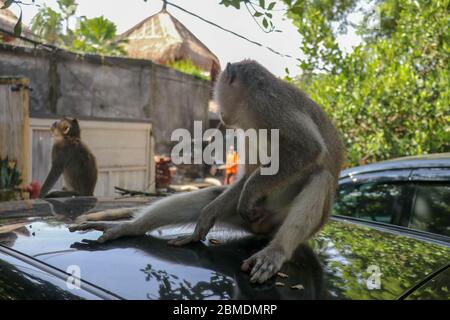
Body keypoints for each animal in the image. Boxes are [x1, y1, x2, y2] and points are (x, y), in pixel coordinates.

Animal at [70, 60, 344, 282]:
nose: (220, 114)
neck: (249, 109)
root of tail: (263, 228)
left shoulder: (267, 104)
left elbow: (308, 149)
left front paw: (250, 191)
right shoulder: (246, 126)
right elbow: (246, 176)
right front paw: (211, 213)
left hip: (283, 220)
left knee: (320, 179)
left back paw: (276, 251)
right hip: (250, 217)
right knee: (212, 197)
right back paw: (130, 227)